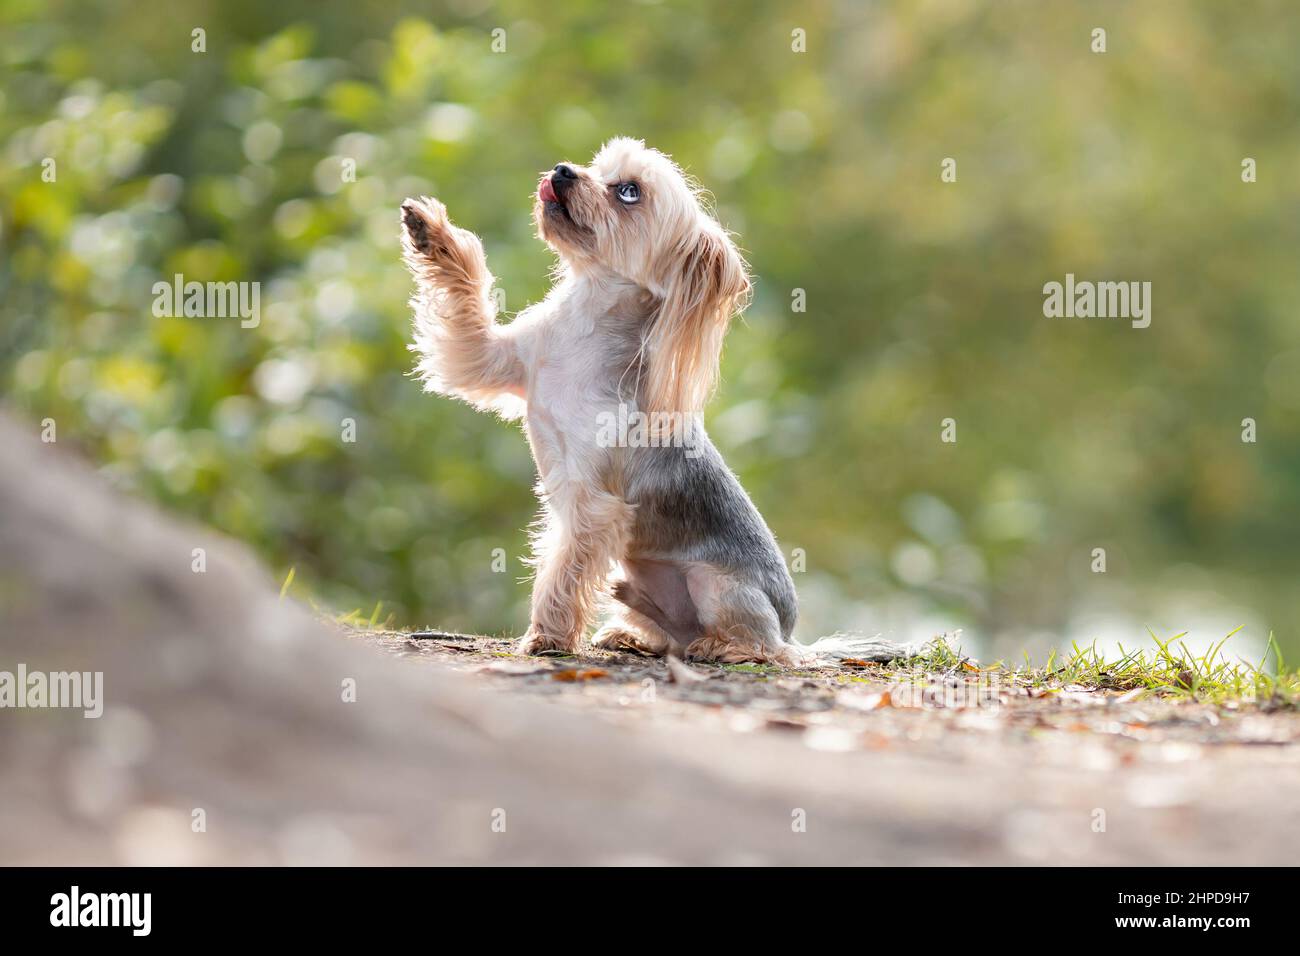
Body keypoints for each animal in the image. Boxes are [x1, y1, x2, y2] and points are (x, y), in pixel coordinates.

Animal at [395, 136, 883, 665]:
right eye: (596, 166)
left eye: (628, 192)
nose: (562, 171)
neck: (585, 322)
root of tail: (794, 633)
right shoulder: (493, 357)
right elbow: (466, 312)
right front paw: (430, 232)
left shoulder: (593, 505)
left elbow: (563, 572)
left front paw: (548, 636)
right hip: (629, 579)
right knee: (664, 627)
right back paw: (633, 635)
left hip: (717, 585)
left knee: (763, 646)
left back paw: (720, 645)